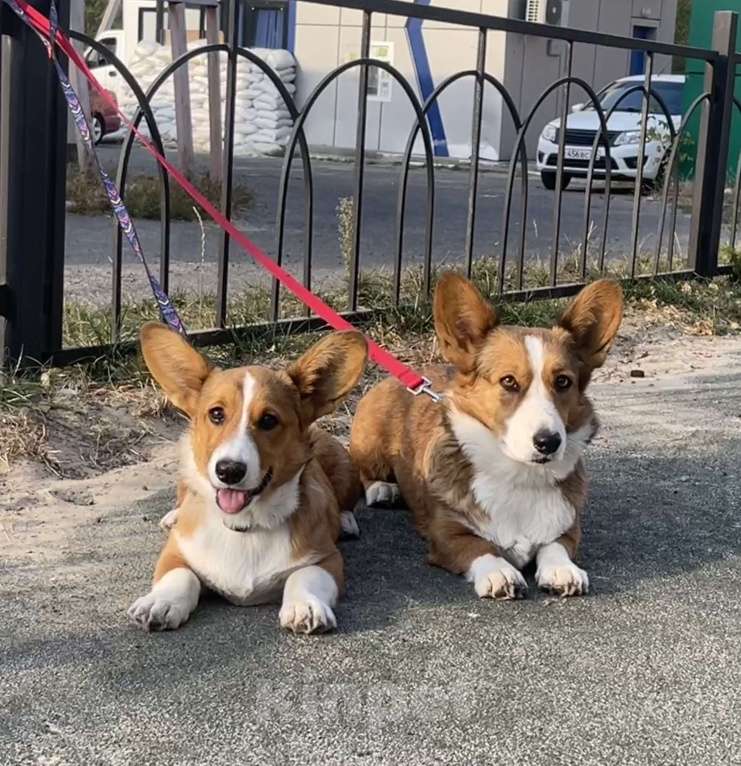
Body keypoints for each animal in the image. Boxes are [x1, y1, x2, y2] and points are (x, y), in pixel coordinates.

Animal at [132, 326, 368, 636]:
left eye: (269, 420)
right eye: (216, 414)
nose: (229, 470)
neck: (245, 525)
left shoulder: (327, 559)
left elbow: (305, 576)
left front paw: (305, 606)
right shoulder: (175, 554)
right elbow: (180, 575)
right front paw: (161, 602)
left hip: (343, 462)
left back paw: (346, 520)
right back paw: (173, 516)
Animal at [350, 274, 620, 600]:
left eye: (563, 382)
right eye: (509, 381)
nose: (549, 442)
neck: (519, 475)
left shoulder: (568, 527)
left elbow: (555, 546)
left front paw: (562, 570)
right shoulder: (448, 533)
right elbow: (478, 546)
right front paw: (500, 572)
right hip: (369, 441)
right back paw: (382, 489)